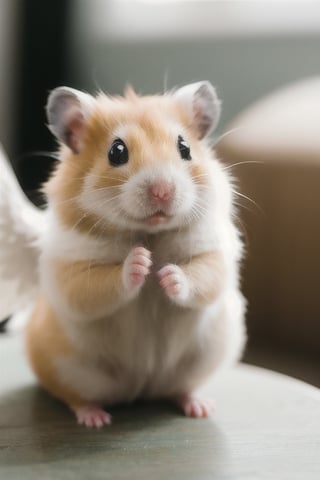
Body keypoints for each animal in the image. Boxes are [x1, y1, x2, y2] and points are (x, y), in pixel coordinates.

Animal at [25, 81, 245, 428]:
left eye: (185, 148)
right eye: (117, 152)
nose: (162, 192)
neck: (149, 232)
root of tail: (142, 387)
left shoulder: (214, 253)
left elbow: (203, 276)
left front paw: (166, 275)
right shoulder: (71, 268)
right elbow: (97, 286)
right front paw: (142, 262)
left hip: (204, 356)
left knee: (180, 389)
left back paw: (200, 407)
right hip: (67, 366)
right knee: (76, 397)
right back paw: (95, 419)